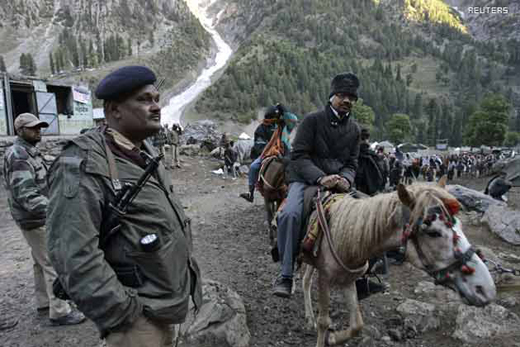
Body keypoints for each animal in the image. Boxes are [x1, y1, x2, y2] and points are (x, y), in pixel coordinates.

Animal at [300, 178, 496, 347]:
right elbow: (324, 321)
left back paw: (308, 318)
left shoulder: (348, 278)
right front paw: (325, 335)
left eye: (460, 226)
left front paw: (332, 338)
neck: (344, 234)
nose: (485, 289)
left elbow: (357, 325)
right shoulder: (325, 278)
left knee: (306, 280)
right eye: (433, 232)